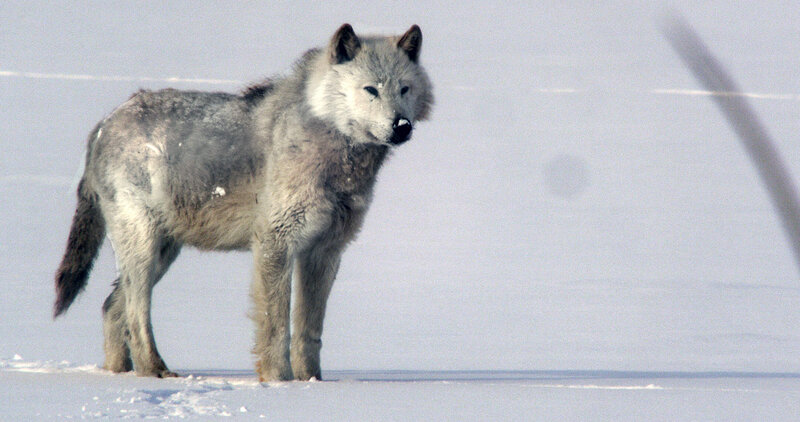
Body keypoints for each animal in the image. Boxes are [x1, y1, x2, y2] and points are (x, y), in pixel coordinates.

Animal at [53, 24, 433, 381]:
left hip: (164, 253)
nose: (402, 126)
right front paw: (279, 381)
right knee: (135, 314)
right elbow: (276, 327)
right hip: (145, 251)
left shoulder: (324, 252)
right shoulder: (276, 243)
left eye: (404, 89)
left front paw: (312, 382)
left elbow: (309, 332)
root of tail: (106, 122)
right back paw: (154, 371)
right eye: (371, 90)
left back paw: (120, 374)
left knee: (110, 307)